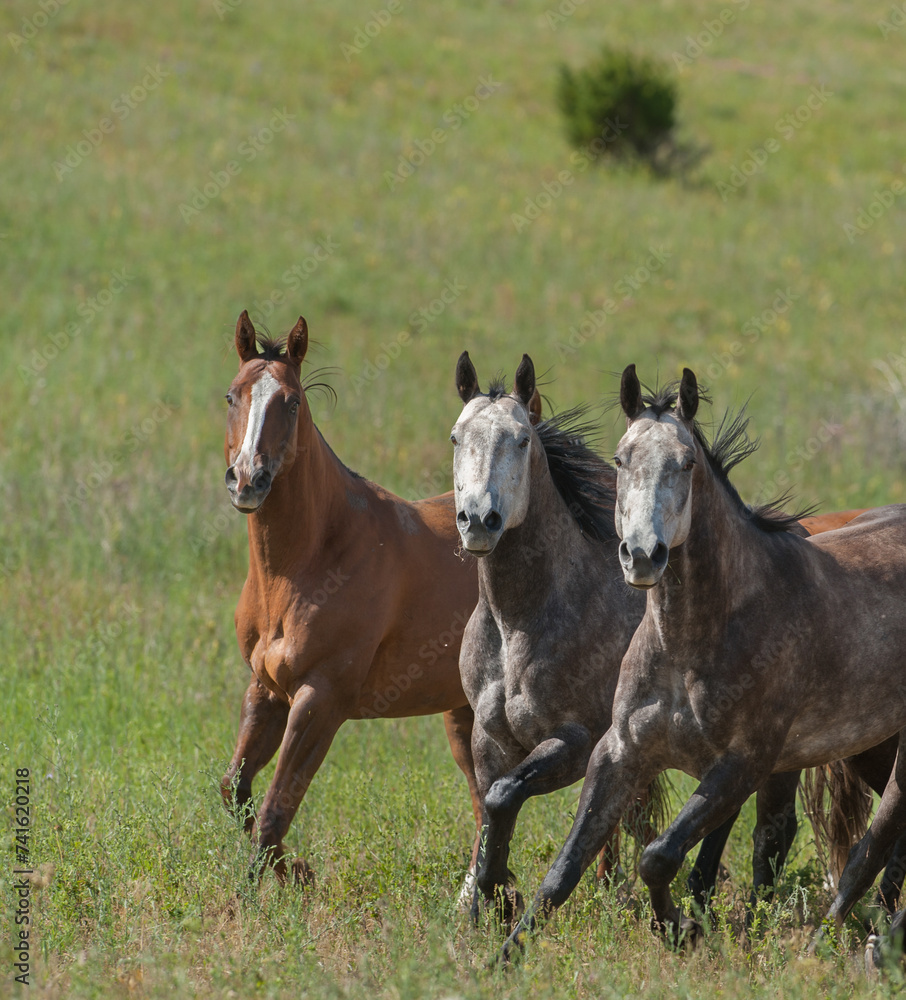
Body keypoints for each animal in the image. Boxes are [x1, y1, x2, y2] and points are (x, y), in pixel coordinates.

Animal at [219, 310, 482, 883]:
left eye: (291, 401)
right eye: (232, 395)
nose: (248, 480)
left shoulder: (322, 699)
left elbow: (274, 809)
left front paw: (279, 882)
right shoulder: (266, 690)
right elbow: (236, 791)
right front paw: (296, 870)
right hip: (464, 716)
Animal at [451, 351, 872, 927]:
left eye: (520, 440)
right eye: (455, 437)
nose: (478, 521)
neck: (521, 623)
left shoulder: (577, 741)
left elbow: (504, 796)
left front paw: (498, 894)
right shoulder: (490, 740)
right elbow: (494, 805)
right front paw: (483, 905)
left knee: (771, 825)